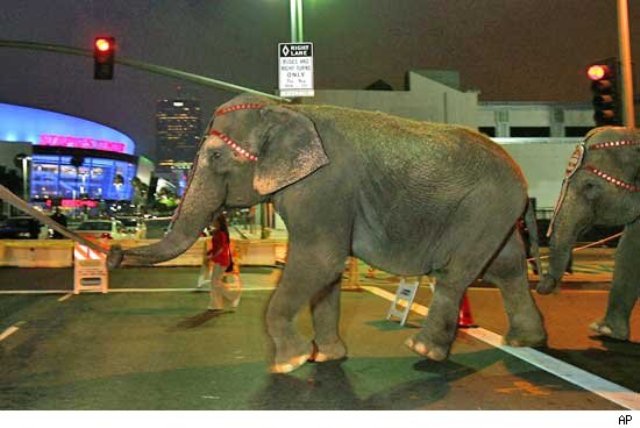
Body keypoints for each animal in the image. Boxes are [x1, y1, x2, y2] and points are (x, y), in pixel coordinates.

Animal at [109, 93, 544, 372]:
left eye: (216, 155)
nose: (113, 253)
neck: (285, 111)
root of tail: (521, 175)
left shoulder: (323, 187)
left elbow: (321, 260)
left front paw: (290, 362)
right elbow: (326, 274)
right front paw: (326, 357)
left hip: (482, 207)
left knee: (458, 274)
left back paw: (425, 351)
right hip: (495, 215)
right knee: (507, 267)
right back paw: (525, 341)